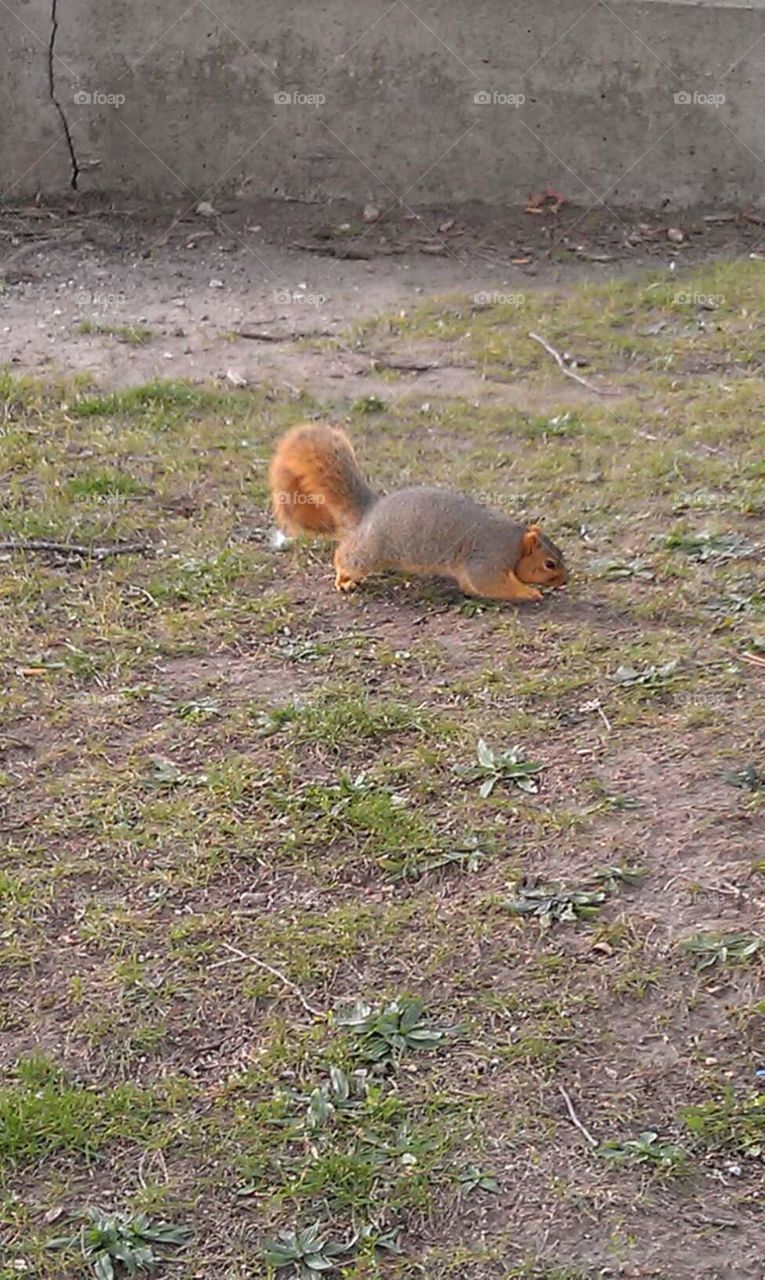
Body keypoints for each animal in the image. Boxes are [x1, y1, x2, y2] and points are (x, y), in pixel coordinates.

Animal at [269, 422, 568, 603]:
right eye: (549, 564)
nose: (565, 580)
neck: (514, 545)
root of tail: (372, 509)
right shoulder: (488, 558)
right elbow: (488, 583)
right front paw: (529, 592)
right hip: (372, 549)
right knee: (346, 556)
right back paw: (344, 579)